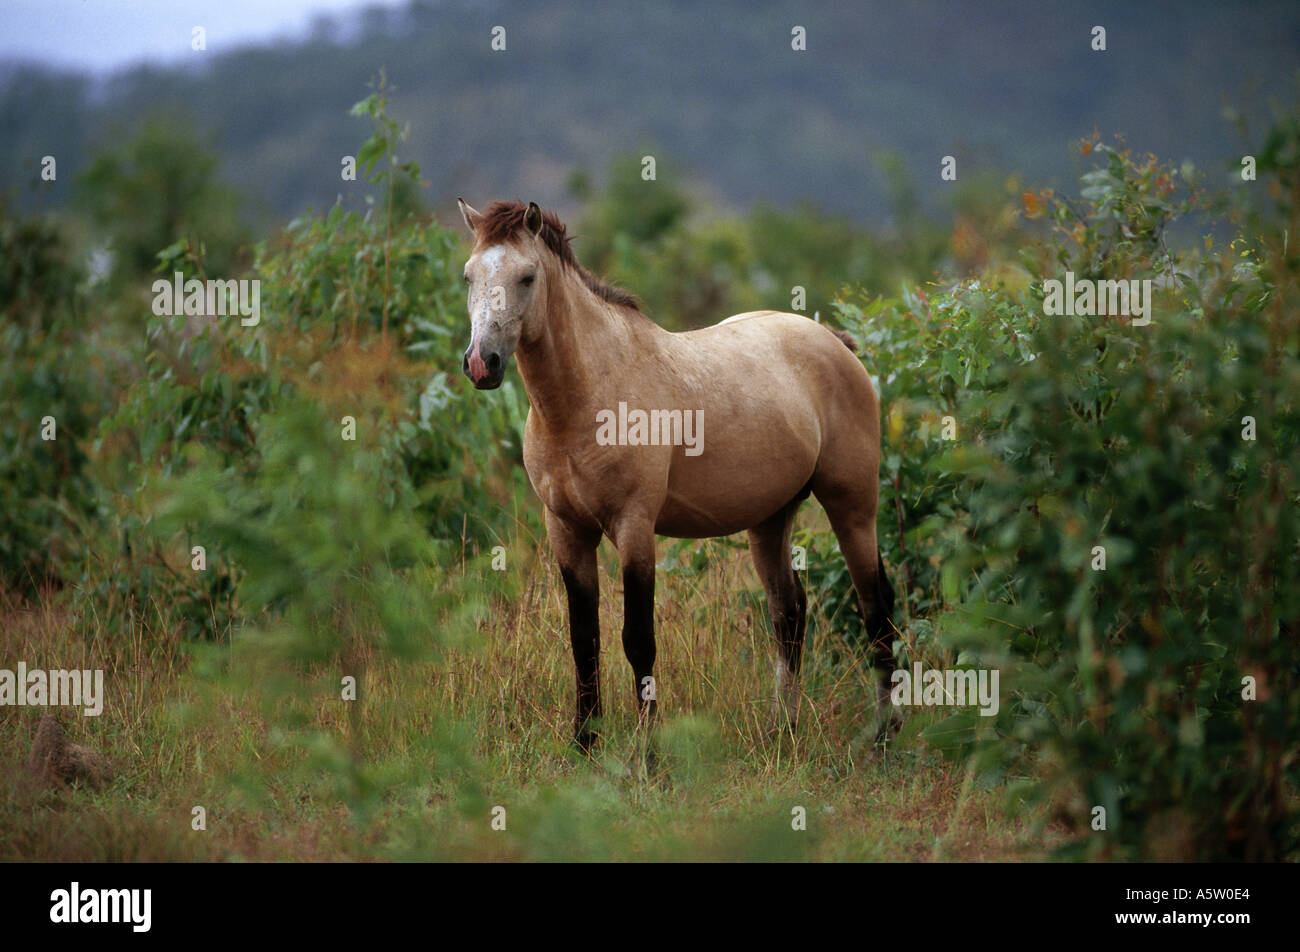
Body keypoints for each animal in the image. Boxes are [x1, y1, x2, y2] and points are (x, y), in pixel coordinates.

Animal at [454, 198, 894, 749]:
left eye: (527, 276)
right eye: (469, 276)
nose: (481, 363)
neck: (585, 400)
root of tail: (835, 343)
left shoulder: (634, 527)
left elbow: (638, 640)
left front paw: (647, 753)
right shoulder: (567, 530)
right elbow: (584, 638)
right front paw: (584, 742)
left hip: (852, 506)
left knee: (876, 607)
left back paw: (882, 736)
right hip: (770, 520)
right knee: (789, 613)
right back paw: (783, 731)